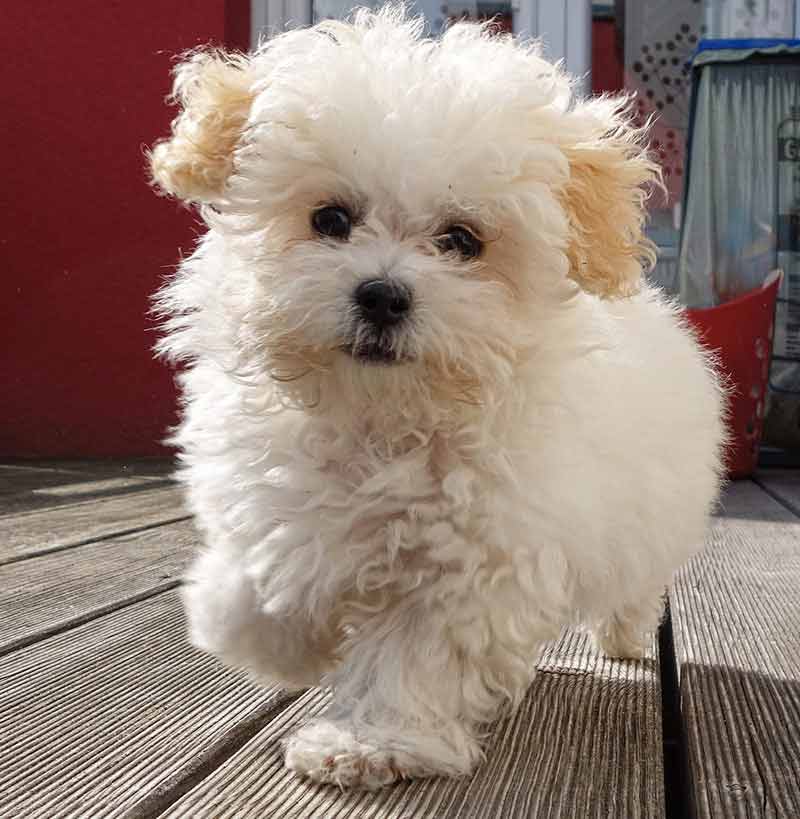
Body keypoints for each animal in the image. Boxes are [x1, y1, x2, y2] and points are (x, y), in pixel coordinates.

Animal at [148, 4, 724, 788]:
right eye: (330, 219)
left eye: (461, 240)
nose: (383, 295)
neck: (381, 416)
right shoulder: (275, 497)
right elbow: (258, 582)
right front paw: (273, 639)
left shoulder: (468, 563)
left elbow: (412, 655)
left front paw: (370, 742)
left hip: (649, 520)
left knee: (635, 585)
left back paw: (627, 638)